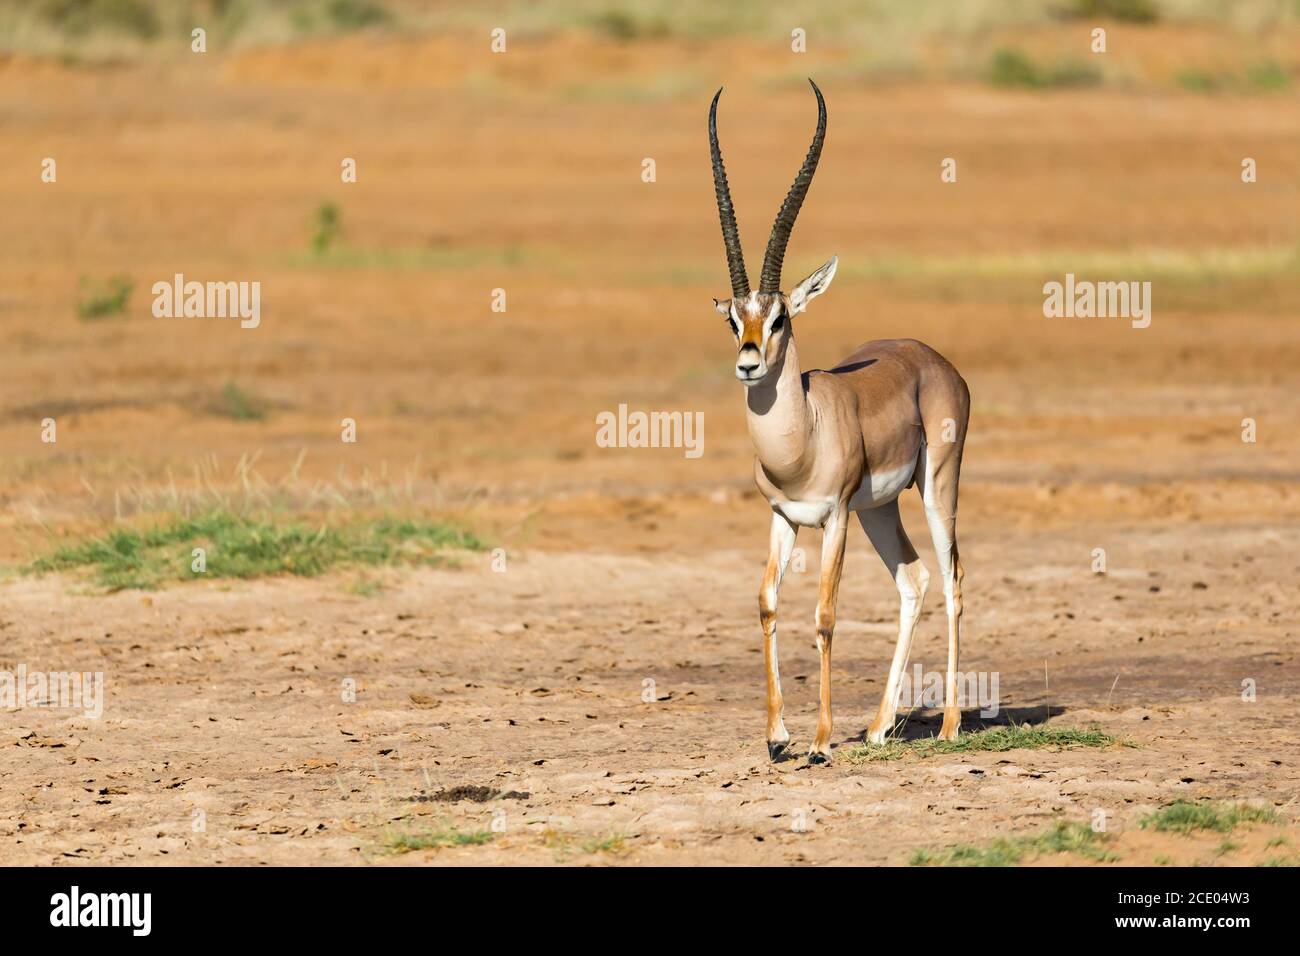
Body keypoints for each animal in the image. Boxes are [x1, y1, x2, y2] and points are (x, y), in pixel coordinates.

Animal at [708, 80, 970, 764]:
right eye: (734, 319)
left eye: (779, 318)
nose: (748, 362)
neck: (802, 439)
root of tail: (931, 358)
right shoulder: (782, 517)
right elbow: (767, 603)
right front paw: (777, 737)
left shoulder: (833, 518)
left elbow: (825, 615)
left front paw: (822, 741)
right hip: (881, 509)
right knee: (913, 579)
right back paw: (879, 727)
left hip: (935, 488)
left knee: (952, 576)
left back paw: (951, 724)